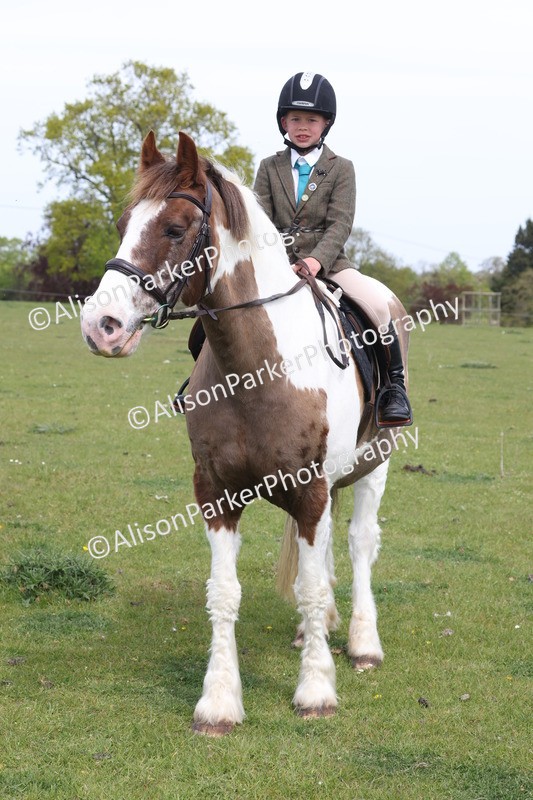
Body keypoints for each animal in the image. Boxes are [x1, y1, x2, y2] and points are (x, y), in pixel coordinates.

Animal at [80, 130, 410, 736]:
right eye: (122, 223)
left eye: (174, 229)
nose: (101, 327)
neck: (257, 367)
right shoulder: (217, 494)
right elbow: (225, 592)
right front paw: (218, 700)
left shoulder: (310, 491)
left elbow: (311, 583)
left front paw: (315, 691)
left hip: (375, 465)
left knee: (358, 544)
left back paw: (361, 642)